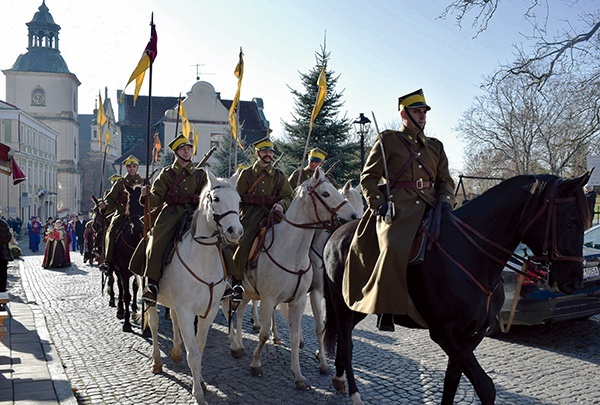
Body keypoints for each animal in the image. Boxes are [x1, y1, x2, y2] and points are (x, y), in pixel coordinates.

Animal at [146, 169, 243, 402]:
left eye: (239, 201)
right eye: (216, 199)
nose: (235, 231)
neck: (203, 259)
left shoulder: (208, 312)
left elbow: (199, 348)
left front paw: (200, 381)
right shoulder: (187, 311)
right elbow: (194, 354)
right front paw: (197, 394)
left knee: (171, 319)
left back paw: (175, 352)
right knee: (153, 324)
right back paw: (157, 361)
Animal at [223, 166, 358, 388]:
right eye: (326, 193)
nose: (355, 216)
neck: (292, 251)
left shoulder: (300, 299)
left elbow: (297, 335)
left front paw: (299, 374)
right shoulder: (268, 299)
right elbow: (263, 334)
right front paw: (256, 363)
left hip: (247, 293)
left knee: (240, 313)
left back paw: (240, 345)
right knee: (228, 311)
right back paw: (234, 344)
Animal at [324, 173, 592, 404]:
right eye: (570, 222)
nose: (575, 280)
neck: (472, 253)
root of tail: (336, 233)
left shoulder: (473, 334)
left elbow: (452, 378)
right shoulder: (446, 333)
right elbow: (485, 386)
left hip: (358, 309)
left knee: (343, 342)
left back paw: (338, 378)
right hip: (342, 305)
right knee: (346, 346)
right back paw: (354, 393)